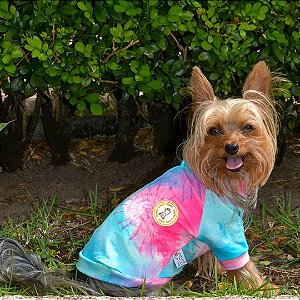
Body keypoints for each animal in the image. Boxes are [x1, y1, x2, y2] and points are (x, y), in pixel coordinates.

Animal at [0, 61, 278, 296]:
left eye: (248, 128)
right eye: (214, 131)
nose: (231, 147)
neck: (218, 176)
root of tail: (82, 277)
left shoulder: (214, 239)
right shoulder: (225, 233)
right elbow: (244, 265)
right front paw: (265, 288)